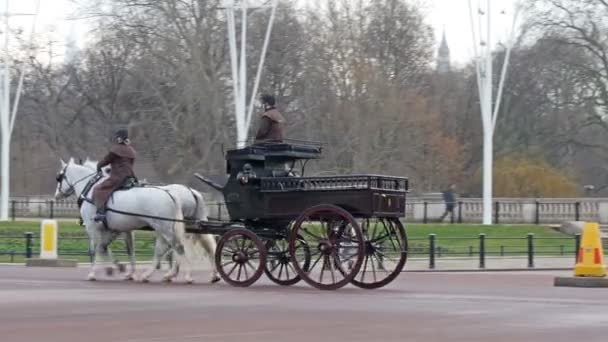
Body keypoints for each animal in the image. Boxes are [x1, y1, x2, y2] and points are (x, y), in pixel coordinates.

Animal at [54, 159, 194, 282]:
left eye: (59, 177)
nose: (56, 196)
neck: (91, 190)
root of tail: (169, 193)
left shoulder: (93, 227)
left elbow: (97, 249)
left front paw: (94, 272)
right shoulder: (118, 230)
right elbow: (118, 249)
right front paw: (121, 269)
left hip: (164, 229)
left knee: (178, 247)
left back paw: (186, 275)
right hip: (160, 230)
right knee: (161, 250)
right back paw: (150, 274)